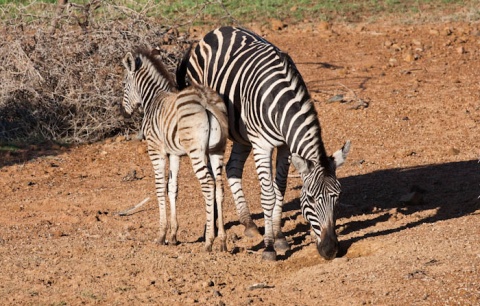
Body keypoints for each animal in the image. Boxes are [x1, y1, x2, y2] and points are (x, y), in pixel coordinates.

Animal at [123, 47, 230, 252]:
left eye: (124, 85)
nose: (123, 113)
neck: (152, 99)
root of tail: (204, 99)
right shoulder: (174, 154)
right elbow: (172, 188)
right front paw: (173, 235)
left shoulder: (156, 150)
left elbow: (159, 187)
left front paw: (161, 234)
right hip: (217, 150)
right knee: (220, 186)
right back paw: (222, 241)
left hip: (196, 151)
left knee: (208, 184)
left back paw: (209, 241)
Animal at [178, 26, 350, 260]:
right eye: (311, 199)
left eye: (338, 198)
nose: (330, 250)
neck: (280, 103)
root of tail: (218, 29)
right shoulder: (262, 145)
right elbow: (268, 195)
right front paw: (269, 247)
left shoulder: (285, 146)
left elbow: (280, 189)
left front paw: (279, 238)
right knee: (211, 177)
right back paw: (211, 225)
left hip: (241, 133)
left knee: (232, 168)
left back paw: (249, 224)